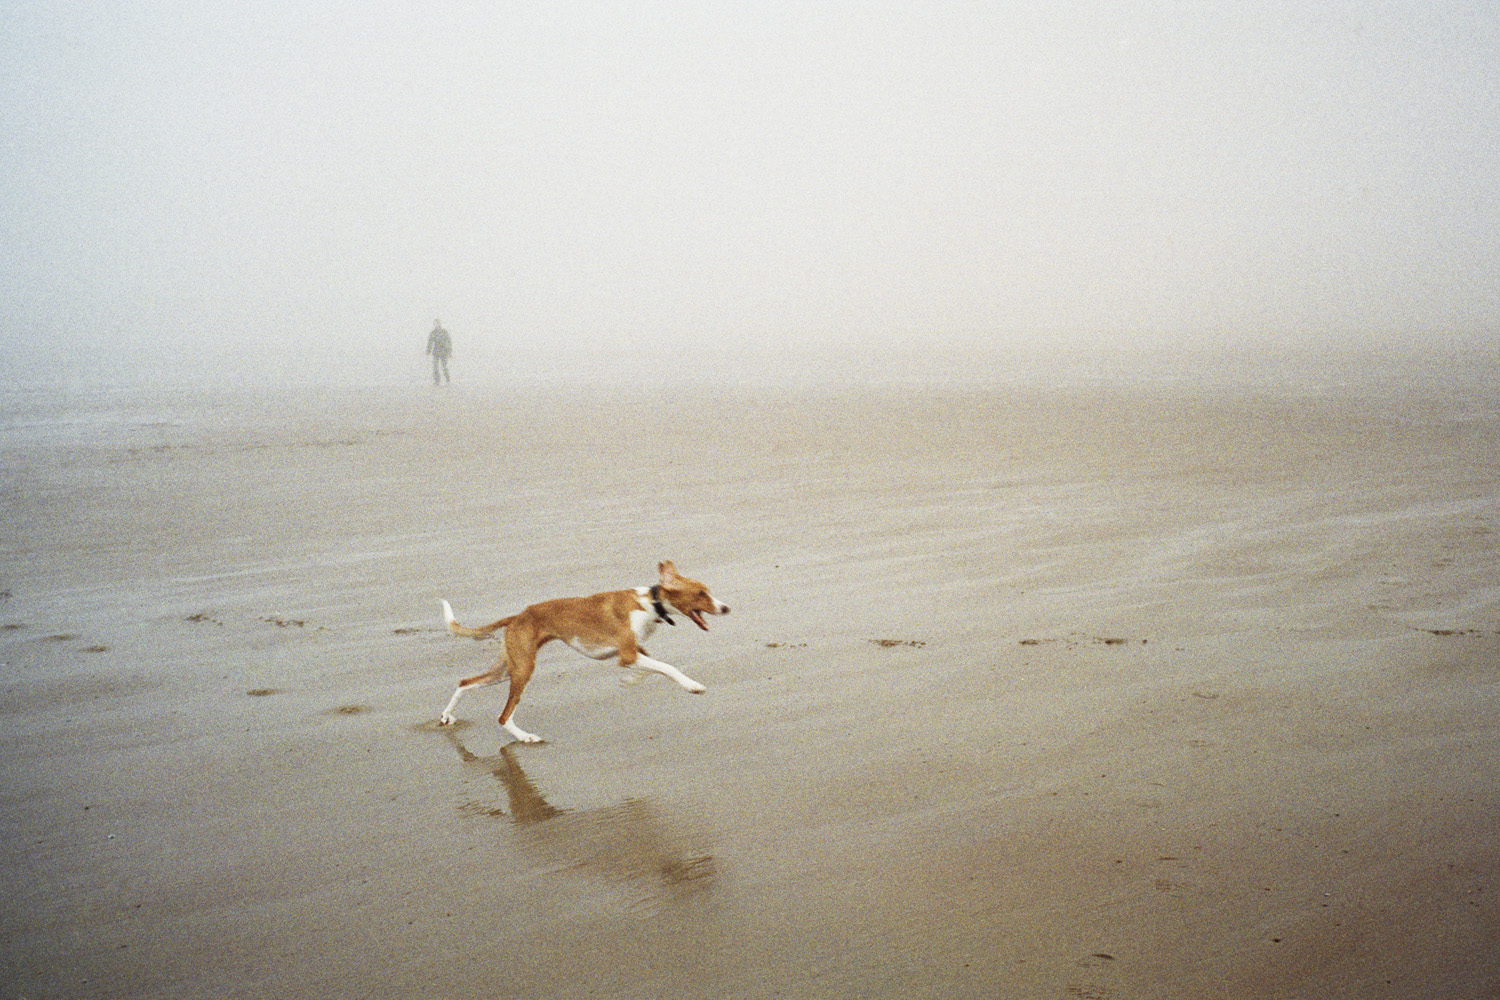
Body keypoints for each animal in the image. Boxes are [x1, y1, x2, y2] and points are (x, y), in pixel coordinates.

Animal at [438, 563, 729, 743]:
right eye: (701, 594)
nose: (726, 608)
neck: (650, 603)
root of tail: (517, 616)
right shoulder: (628, 654)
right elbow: (667, 667)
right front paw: (692, 685)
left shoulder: (631, 652)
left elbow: (649, 668)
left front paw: (629, 680)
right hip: (522, 669)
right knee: (503, 715)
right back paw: (525, 736)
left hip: (506, 668)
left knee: (465, 682)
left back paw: (446, 716)